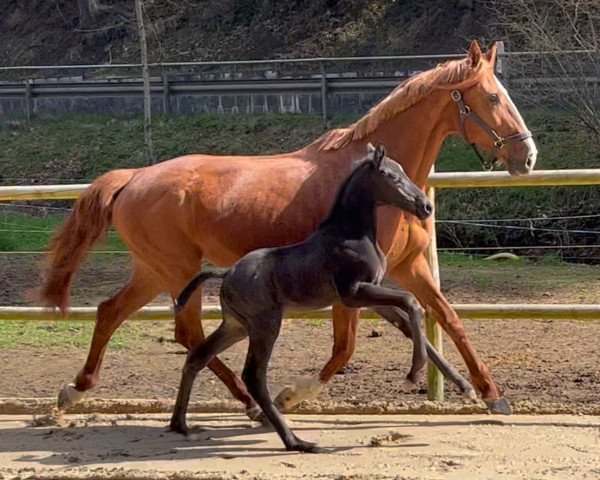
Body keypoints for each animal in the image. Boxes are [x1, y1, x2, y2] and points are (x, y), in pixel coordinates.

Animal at [36, 40, 536, 416]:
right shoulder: (351, 287)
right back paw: (248, 400)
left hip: (155, 271)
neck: (366, 187)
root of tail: (133, 178)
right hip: (178, 271)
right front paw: (294, 394)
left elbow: (446, 320)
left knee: (111, 311)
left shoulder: (408, 269)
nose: (527, 156)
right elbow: (346, 347)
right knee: (187, 335)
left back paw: (76, 389)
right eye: (493, 97)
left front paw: (488, 393)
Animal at [171, 144, 434, 452]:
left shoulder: (367, 293)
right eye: (392, 176)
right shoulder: (353, 293)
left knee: (198, 356)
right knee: (253, 375)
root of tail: (227, 272)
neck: (352, 234)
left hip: (236, 326)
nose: (425, 207)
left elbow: (407, 309)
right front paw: (414, 372)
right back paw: (296, 441)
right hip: (265, 324)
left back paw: (181, 425)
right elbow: (410, 300)